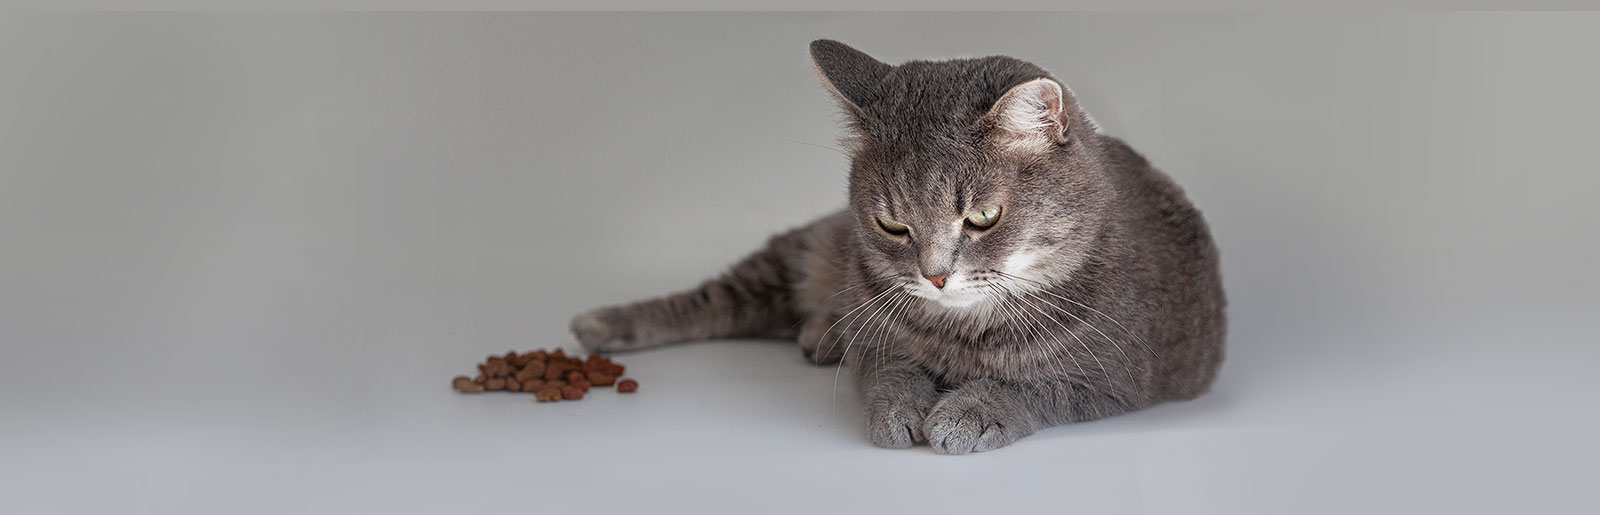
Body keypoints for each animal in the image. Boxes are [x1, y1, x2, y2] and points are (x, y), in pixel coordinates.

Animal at [572, 40, 1222, 454]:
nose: (934, 276)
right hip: (806, 248)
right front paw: (901, 409)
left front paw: (968, 411)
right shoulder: (878, 338)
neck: (964, 332)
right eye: (891, 225)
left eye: (982, 217)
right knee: (713, 300)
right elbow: (890, 370)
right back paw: (605, 322)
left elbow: (1031, 387)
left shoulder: (1112, 380)